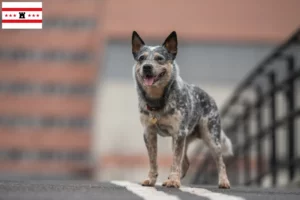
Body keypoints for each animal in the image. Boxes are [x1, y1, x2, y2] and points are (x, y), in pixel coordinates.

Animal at [131, 30, 232, 188]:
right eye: (141, 58)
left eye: (160, 58)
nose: (147, 66)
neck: (158, 100)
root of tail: (209, 96)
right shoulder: (149, 133)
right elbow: (153, 160)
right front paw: (152, 179)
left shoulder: (178, 132)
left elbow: (175, 160)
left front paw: (173, 181)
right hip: (184, 138)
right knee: (185, 162)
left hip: (211, 137)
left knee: (220, 161)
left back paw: (224, 181)